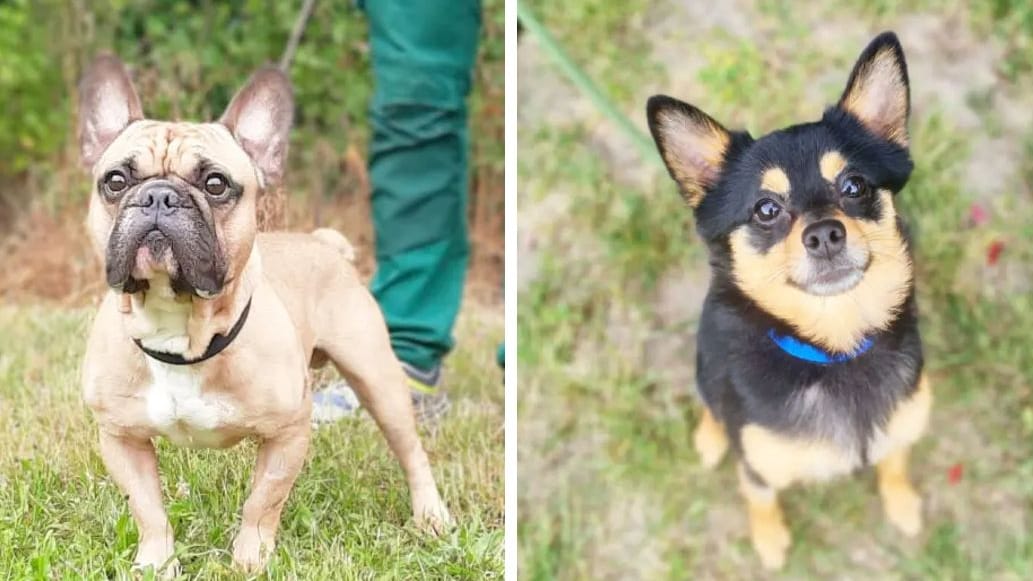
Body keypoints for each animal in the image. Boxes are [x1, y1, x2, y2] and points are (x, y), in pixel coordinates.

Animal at [644, 30, 929, 566]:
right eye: (765, 209)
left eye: (854, 185)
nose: (824, 234)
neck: (834, 352)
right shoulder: (757, 466)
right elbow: (760, 500)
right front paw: (770, 542)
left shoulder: (901, 429)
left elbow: (895, 465)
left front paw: (902, 504)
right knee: (710, 402)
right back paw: (710, 439)